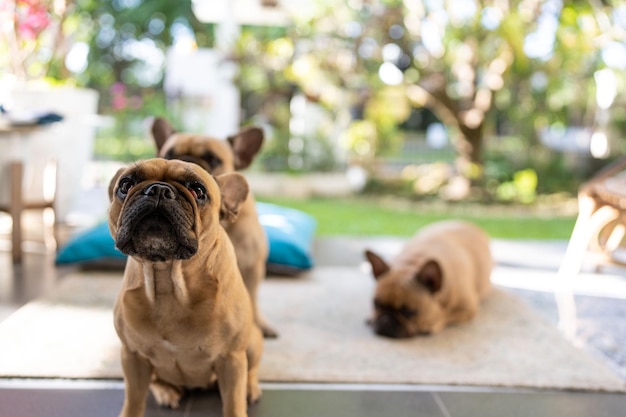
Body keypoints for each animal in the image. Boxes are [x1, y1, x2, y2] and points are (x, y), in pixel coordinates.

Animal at [109, 158, 260, 414]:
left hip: (251, 343)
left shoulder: (231, 359)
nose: (159, 189)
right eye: (126, 184)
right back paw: (166, 391)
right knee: (155, 380)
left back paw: (250, 387)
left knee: (251, 369)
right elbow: (134, 400)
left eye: (198, 191)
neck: (169, 281)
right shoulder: (132, 356)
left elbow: (233, 404)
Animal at [150, 117, 276, 338]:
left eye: (213, 159)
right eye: (167, 156)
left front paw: (260, 325)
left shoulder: (252, 270)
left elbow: (252, 299)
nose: (184, 161)